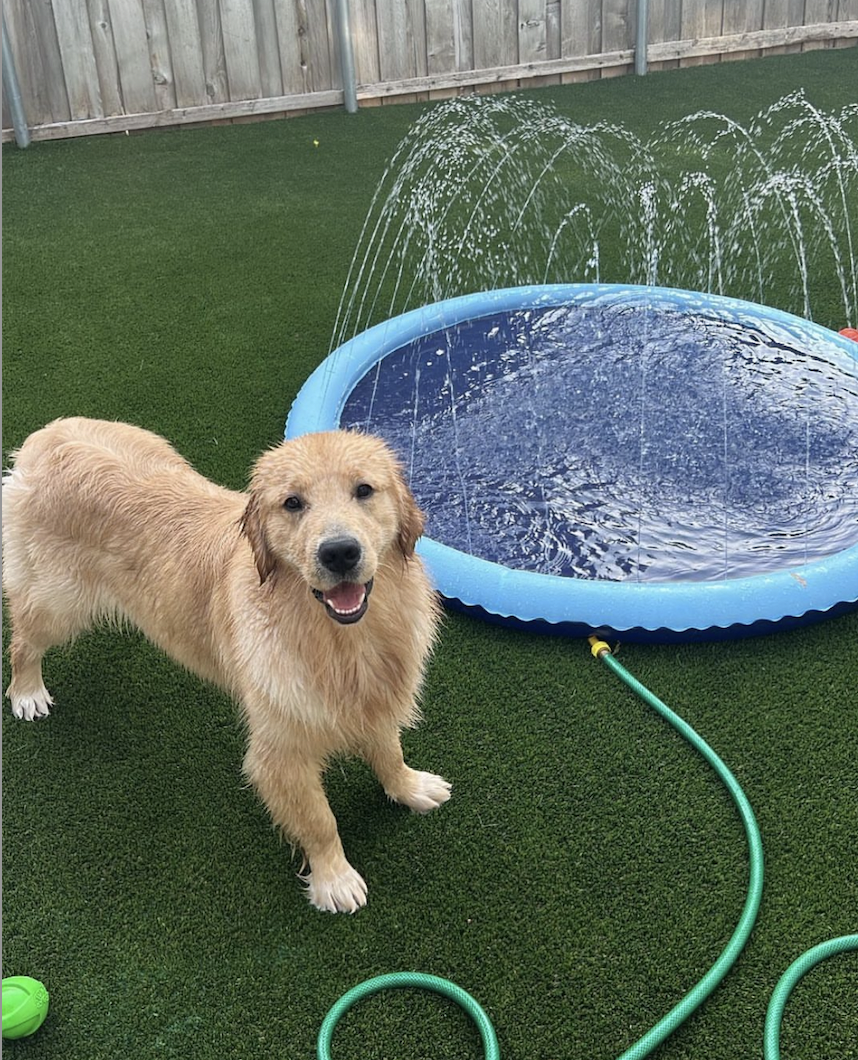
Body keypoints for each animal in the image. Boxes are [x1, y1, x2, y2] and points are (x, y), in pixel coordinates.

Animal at [3, 417, 447, 915]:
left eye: (364, 490)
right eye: (292, 502)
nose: (339, 553)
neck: (342, 640)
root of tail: (50, 434)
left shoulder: (377, 697)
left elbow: (389, 751)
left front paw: (409, 787)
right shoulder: (281, 752)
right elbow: (319, 820)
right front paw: (334, 878)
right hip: (56, 602)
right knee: (23, 640)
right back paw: (27, 692)